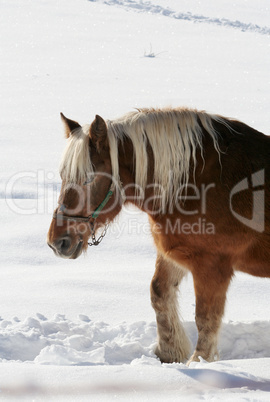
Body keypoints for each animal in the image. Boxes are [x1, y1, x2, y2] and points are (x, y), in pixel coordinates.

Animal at [47, 107, 268, 364]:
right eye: (63, 176)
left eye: (89, 177)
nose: (57, 242)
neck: (194, 184)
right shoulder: (175, 254)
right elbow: (159, 294)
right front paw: (169, 352)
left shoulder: (212, 266)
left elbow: (206, 318)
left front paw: (199, 362)